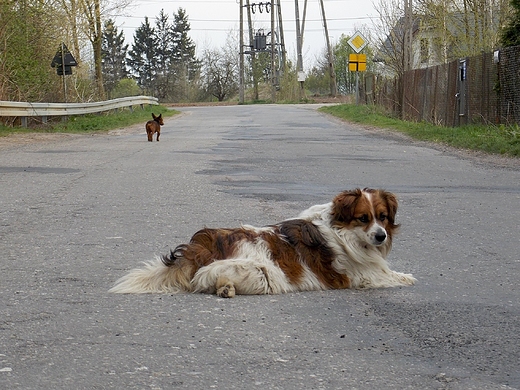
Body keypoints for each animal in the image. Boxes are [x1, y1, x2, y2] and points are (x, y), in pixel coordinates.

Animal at [108, 187, 414, 298]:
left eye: (382, 217)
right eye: (363, 218)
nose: (381, 235)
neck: (344, 230)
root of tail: (205, 242)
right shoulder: (365, 274)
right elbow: (393, 276)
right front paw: (409, 277)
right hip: (263, 273)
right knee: (207, 277)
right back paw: (225, 287)